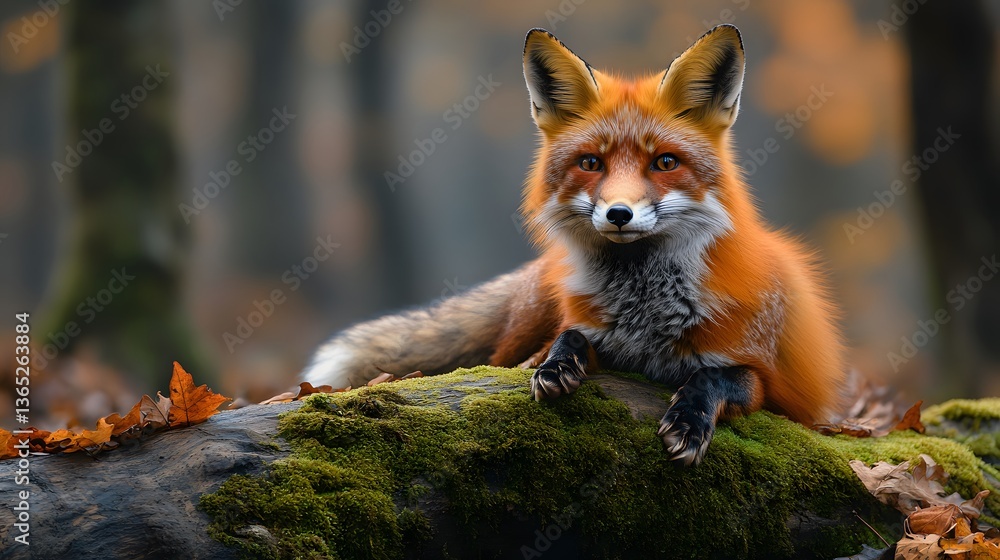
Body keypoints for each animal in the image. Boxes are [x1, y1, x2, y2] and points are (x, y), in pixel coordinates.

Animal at [302, 24, 844, 466]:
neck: (644, 308)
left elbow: (713, 378)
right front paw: (558, 364)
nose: (619, 214)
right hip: (520, 327)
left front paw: (690, 421)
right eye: (591, 163)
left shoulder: (763, 382)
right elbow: (571, 336)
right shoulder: (592, 336)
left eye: (665, 163)